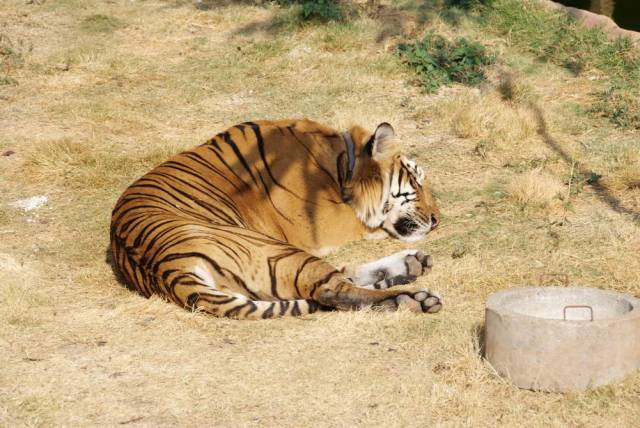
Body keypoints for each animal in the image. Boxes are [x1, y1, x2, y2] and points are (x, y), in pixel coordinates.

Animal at [109, 118, 440, 320]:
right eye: (416, 181)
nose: (437, 219)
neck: (341, 165)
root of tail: (170, 272)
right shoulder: (322, 224)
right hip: (275, 249)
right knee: (333, 288)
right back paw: (412, 298)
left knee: (340, 276)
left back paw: (411, 264)